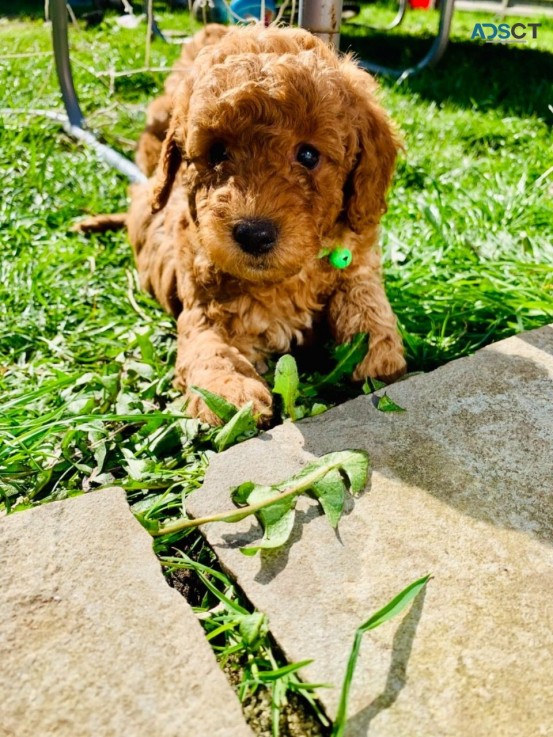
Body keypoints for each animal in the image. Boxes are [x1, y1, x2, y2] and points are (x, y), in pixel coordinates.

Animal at [97, 25, 406, 426]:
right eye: (217, 153)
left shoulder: (357, 260)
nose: (254, 234)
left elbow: (365, 300)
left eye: (308, 155)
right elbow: (210, 347)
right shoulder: (204, 309)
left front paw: (380, 356)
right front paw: (229, 393)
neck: (284, 280)